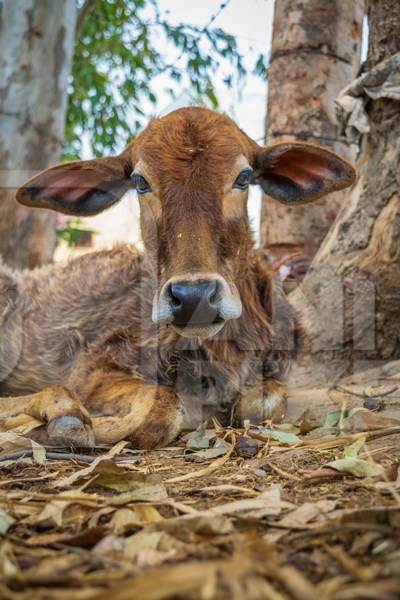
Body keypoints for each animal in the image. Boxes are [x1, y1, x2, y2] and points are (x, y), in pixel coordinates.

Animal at [0, 106, 356, 446]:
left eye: (243, 176)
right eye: (140, 181)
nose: (194, 297)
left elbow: (264, 403)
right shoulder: (94, 367)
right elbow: (161, 410)